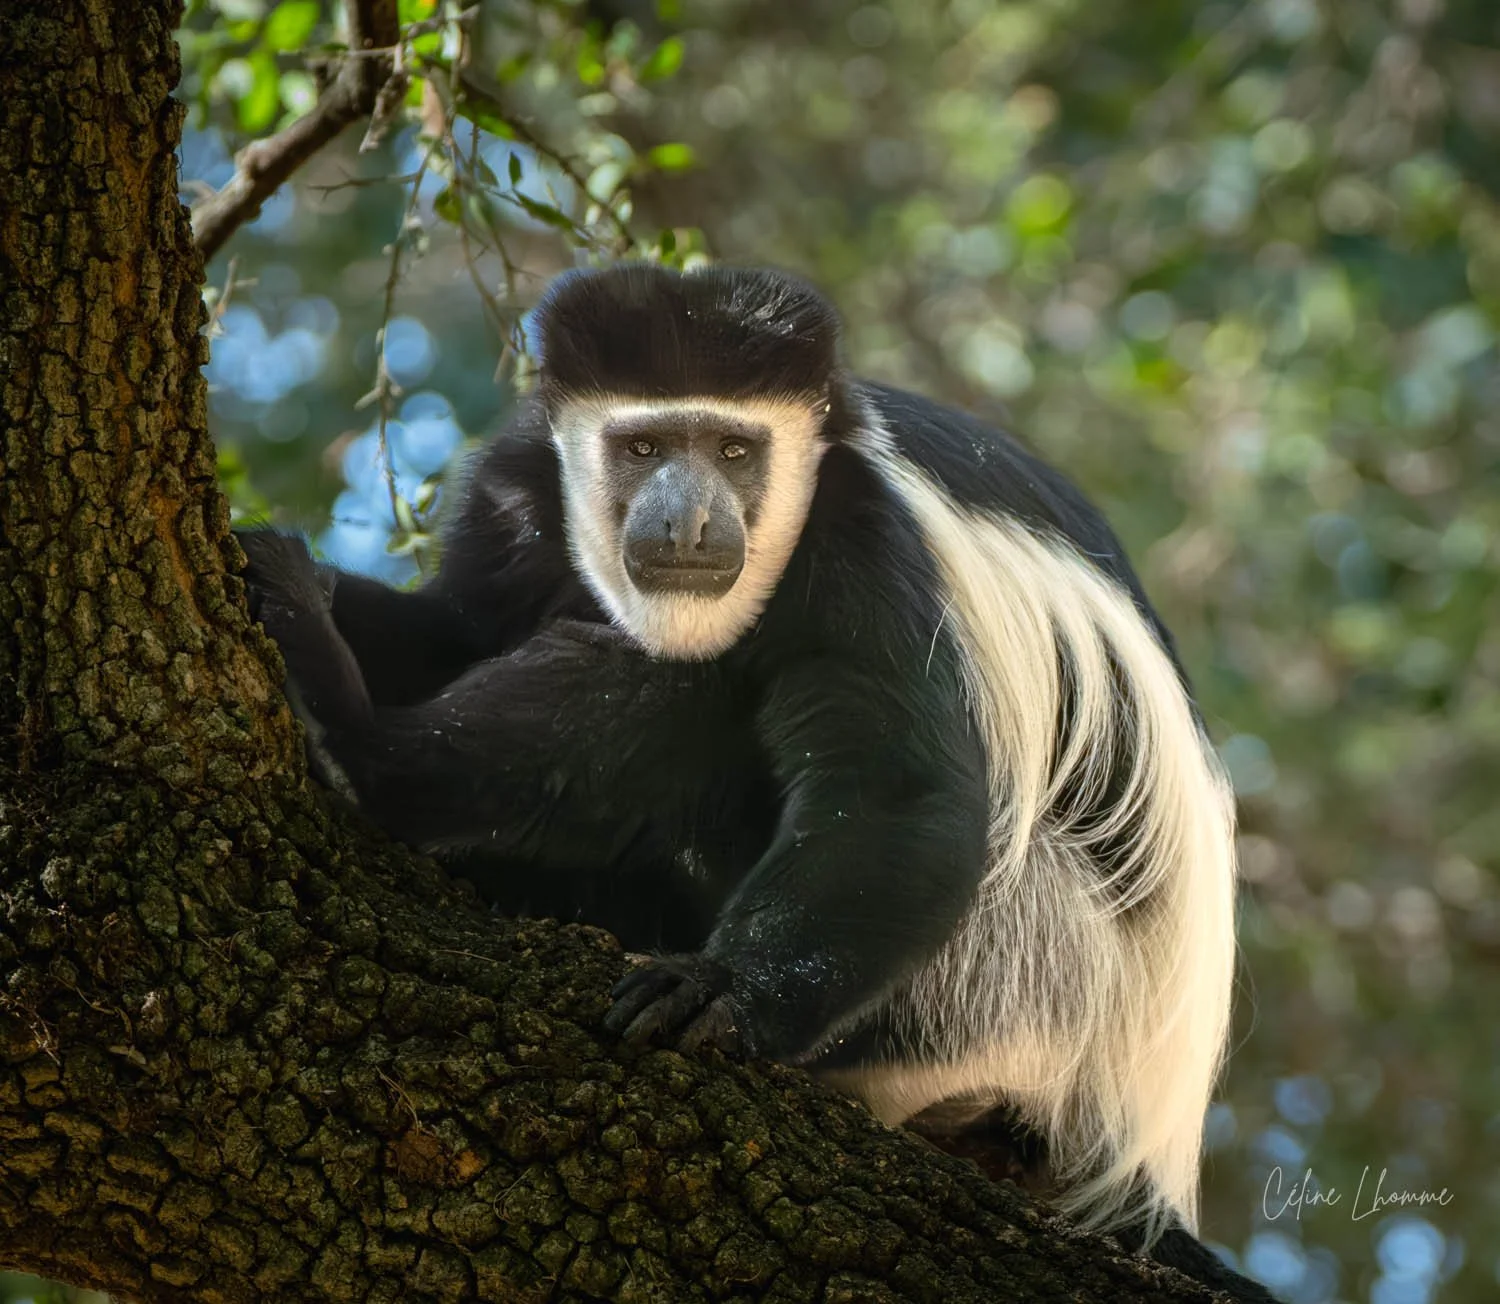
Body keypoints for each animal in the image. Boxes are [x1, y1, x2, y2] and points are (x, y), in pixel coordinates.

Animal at [239, 263, 1270, 1299]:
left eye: (736, 450)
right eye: (644, 446)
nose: (688, 523)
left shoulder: (863, 535)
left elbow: (893, 787)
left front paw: (722, 995)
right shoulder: (515, 491)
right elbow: (457, 632)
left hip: (1021, 982)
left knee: (683, 684)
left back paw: (354, 746)